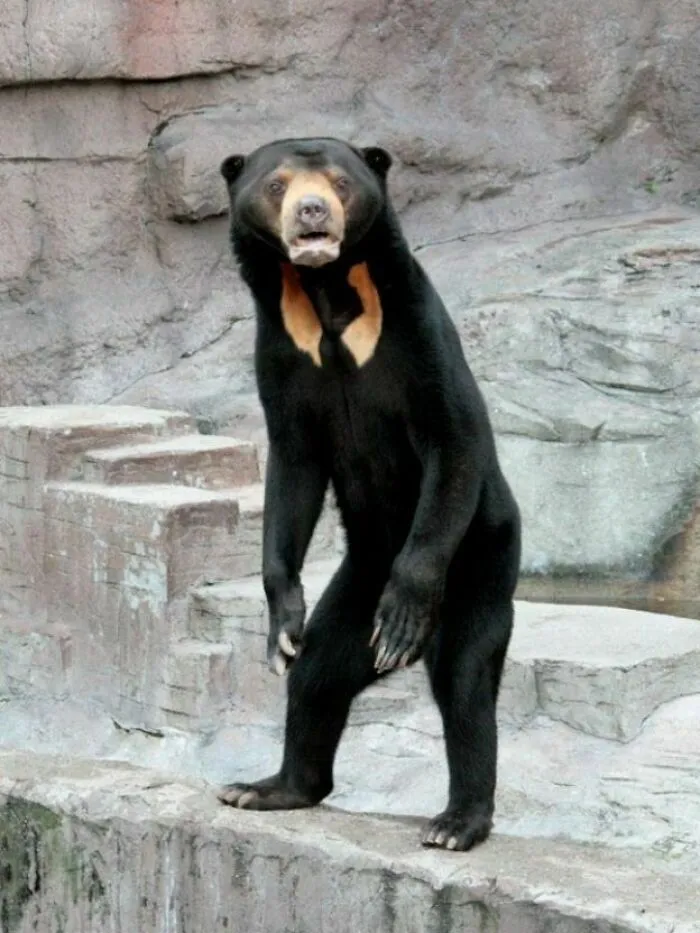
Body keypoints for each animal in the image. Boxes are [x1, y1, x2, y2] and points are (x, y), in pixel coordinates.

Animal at [216, 137, 521, 851]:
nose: (310, 213)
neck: (326, 296)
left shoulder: (416, 331)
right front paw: (281, 625)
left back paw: (456, 823)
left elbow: (454, 435)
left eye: (339, 182)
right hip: (359, 580)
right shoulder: (280, 352)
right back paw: (270, 787)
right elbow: (293, 465)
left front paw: (404, 611)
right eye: (276, 184)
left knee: (465, 679)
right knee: (322, 669)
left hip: (485, 558)